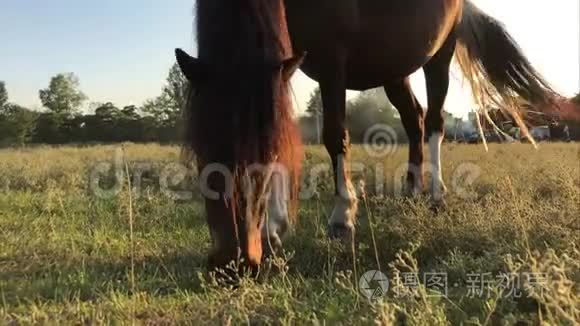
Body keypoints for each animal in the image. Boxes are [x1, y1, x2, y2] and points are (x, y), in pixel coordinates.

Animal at [178, 0, 560, 270]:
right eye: (200, 147)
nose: (232, 261)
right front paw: (275, 227)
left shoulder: (332, 60)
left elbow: (333, 135)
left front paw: (342, 218)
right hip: (394, 69)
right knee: (413, 119)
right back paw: (411, 190)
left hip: (439, 55)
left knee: (434, 122)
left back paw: (436, 195)